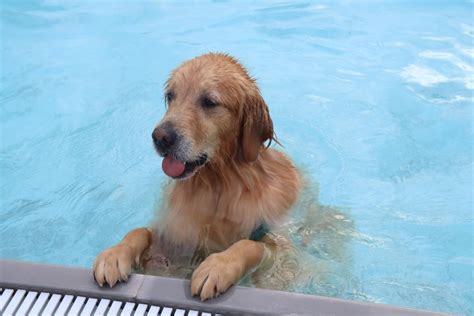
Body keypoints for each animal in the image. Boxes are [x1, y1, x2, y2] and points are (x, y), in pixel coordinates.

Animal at [92, 53, 300, 300]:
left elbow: (251, 245)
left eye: (209, 102)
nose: (160, 137)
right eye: (170, 96)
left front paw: (218, 266)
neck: (216, 184)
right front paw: (114, 255)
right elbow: (140, 231)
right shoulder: (172, 239)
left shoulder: (277, 249)